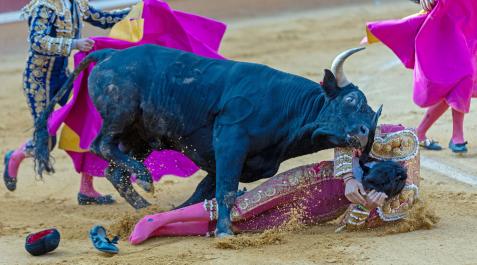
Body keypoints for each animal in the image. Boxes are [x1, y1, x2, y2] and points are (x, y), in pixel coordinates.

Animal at [33, 43, 380, 235]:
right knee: (100, 145)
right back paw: (145, 179)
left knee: (114, 170)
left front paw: (178, 216)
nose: (364, 134)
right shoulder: (230, 141)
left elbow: (205, 191)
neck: (285, 107)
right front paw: (225, 231)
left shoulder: (232, 161)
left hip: (141, 136)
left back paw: (144, 203)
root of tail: (111, 55)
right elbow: (225, 190)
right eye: (351, 101)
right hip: (120, 114)